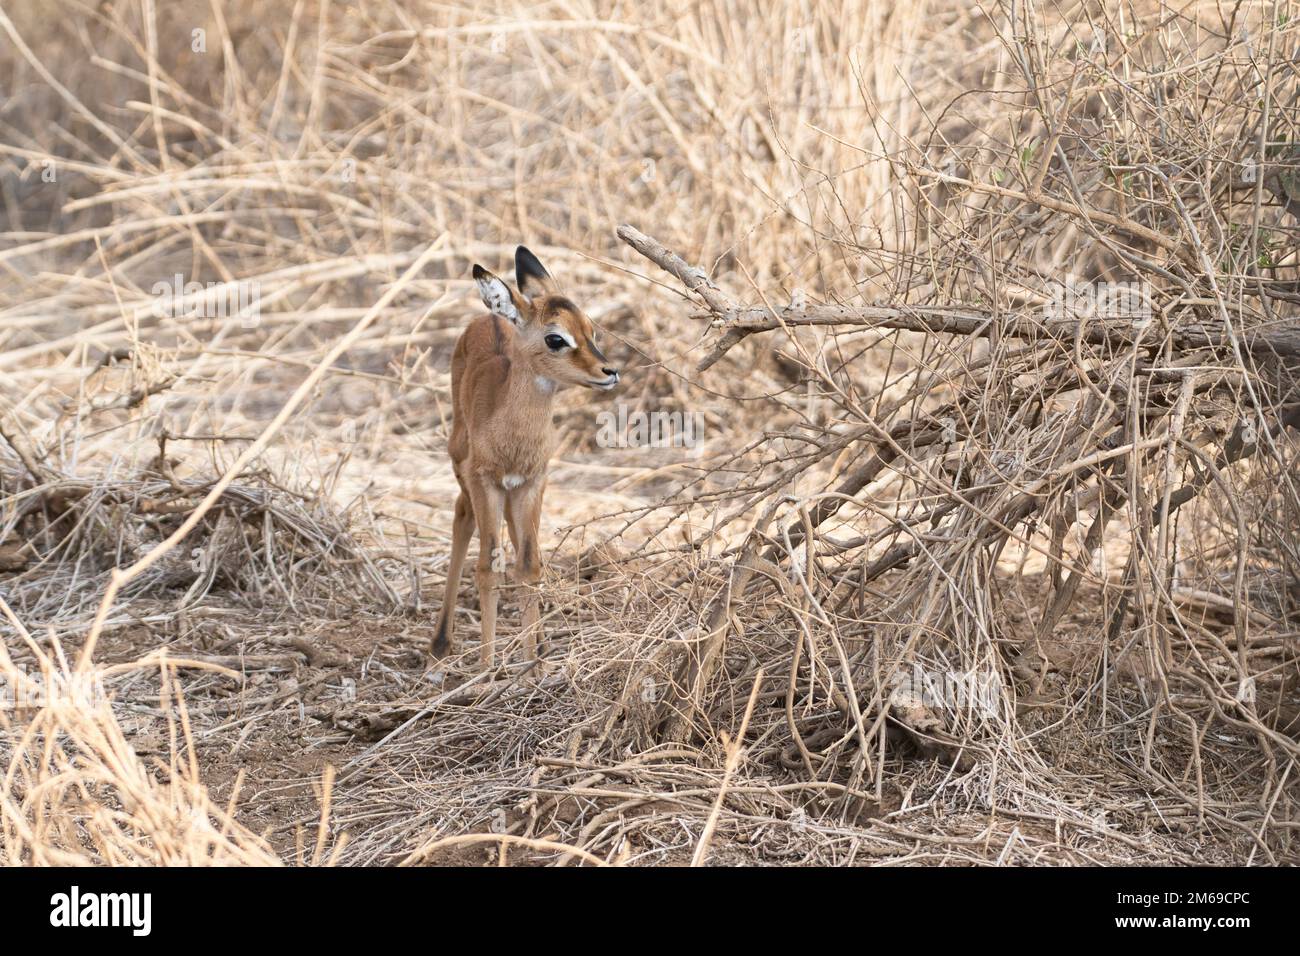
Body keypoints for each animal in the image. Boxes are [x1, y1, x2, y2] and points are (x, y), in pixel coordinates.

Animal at [431, 243, 618, 671]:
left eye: (590, 329)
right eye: (556, 338)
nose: (609, 371)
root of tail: (491, 316)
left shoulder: (532, 482)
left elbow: (529, 566)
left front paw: (531, 663)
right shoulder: (485, 481)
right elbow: (487, 568)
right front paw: (486, 670)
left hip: (516, 493)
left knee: (517, 543)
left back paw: (540, 643)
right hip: (463, 471)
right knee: (462, 518)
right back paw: (441, 642)